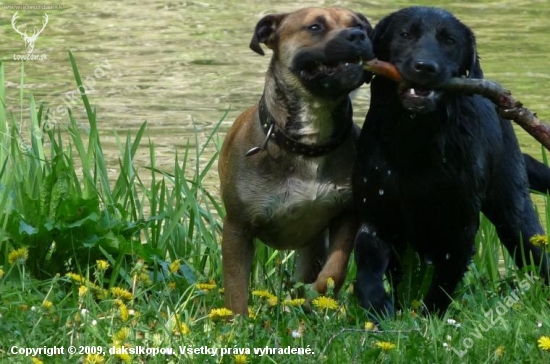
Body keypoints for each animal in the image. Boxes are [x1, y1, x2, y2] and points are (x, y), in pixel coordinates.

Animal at [219, 6, 376, 316]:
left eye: (361, 26)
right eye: (315, 27)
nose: (357, 35)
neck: (309, 144)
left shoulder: (346, 215)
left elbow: (334, 269)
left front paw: (316, 294)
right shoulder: (237, 228)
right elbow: (236, 287)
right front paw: (238, 322)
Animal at [356, 7, 548, 318]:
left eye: (449, 41)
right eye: (405, 34)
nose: (425, 67)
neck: (415, 140)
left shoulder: (461, 226)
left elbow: (444, 283)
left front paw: (428, 318)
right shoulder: (375, 212)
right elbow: (368, 265)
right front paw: (378, 305)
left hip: (516, 217)